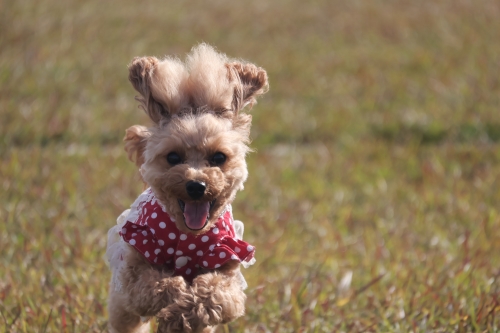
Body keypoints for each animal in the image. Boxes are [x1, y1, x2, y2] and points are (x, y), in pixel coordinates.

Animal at [105, 44, 268, 332]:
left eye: (219, 157)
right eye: (172, 157)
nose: (196, 185)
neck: (188, 236)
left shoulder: (228, 262)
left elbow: (217, 295)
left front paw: (181, 315)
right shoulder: (134, 265)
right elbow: (155, 286)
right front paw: (176, 299)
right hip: (121, 304)